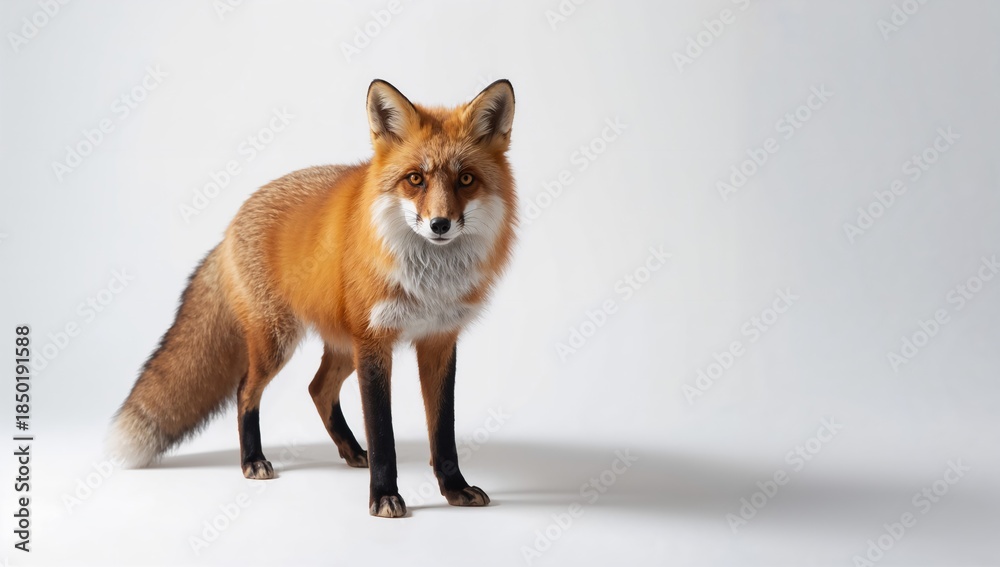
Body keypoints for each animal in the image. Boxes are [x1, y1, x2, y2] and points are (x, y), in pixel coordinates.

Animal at [109, 79, 517, 517]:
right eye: (415, 179)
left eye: (466, 180)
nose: (440, 224)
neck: (428, 281)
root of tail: (231, 225)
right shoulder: (375, 343)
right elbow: (384, 435)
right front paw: (384, 496)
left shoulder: (438, 341)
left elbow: (443, 431)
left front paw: (454, 488)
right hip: (279, 342)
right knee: (245, 390)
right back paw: (253, 459)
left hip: (343, 345)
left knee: (317, 388)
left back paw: (353, 451)